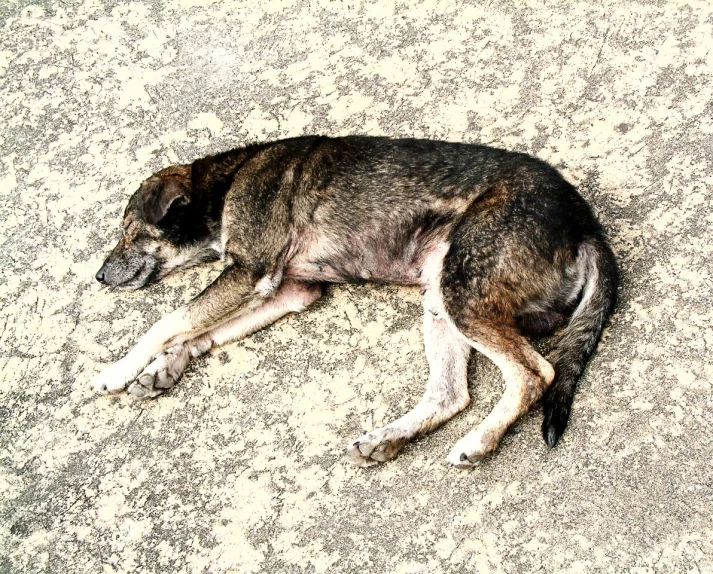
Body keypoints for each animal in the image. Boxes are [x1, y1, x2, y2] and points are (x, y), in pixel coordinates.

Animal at [92, 137, 616, 470]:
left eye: (129, 232)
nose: (98, 275)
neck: (224, 183)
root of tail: (585, 223)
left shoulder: (251, 273)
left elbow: (169, 320)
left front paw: (118, 370)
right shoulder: (288, 291)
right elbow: (200, 329)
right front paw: (165, 366)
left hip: (462, 291)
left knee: (535, 373)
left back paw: (479, 442)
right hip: (440, 297)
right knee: (450, 393)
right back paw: (388, 440)